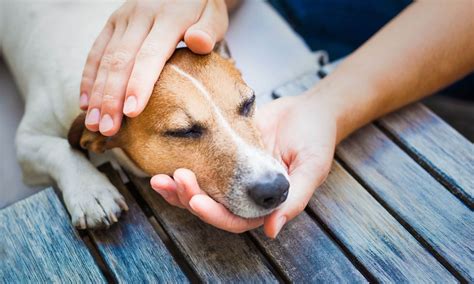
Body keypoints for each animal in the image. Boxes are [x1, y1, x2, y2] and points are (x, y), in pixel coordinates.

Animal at [0, 1, 288, 229]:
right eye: (183, 131)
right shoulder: (27, 141)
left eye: (249, 102)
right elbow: (60, 150)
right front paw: (91, 191)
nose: (275, 188)